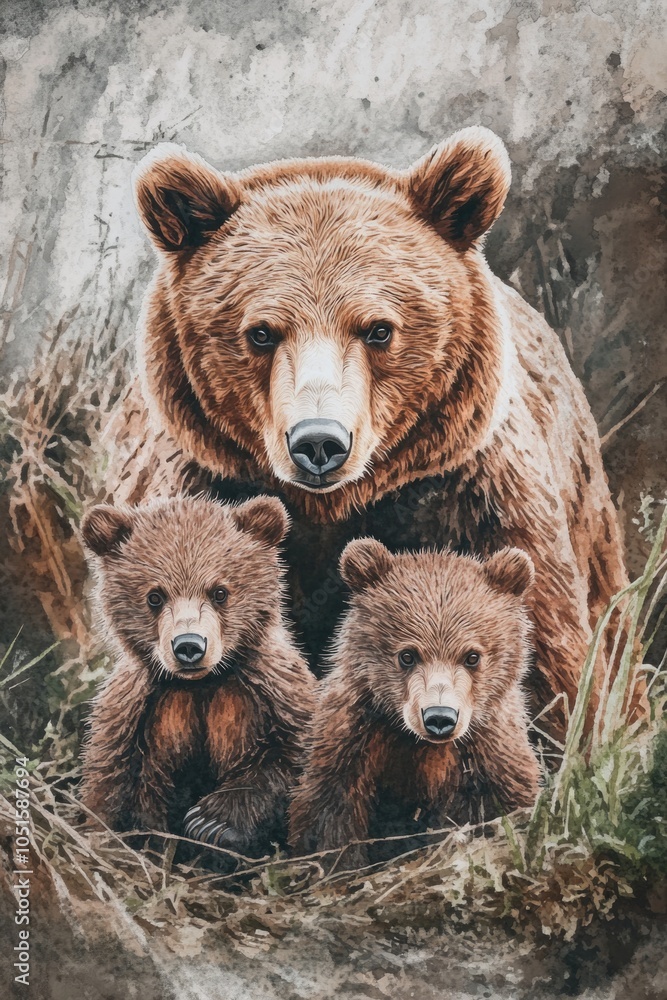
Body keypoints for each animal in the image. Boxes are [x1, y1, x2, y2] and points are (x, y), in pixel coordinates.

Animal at [79, 494, 315, 861]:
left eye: (220, 592)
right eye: (155, 596)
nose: (189, 645)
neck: (201, 685)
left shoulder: (271, 691)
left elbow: (291, 758)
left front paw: (212, 821)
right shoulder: (131, 715)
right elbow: (112, 793)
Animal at [129, 126, 629, 740]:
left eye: (378, 329)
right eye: (261, 332)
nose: (319, 441)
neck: (331, 509)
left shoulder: (472, 501)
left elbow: (548, 665)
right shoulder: (204, 488)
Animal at [288, 539, 541, 866]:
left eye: (472, 656)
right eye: (407, 655)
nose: (439, 717)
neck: (419, 746)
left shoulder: (488, 752)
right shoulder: (352, 742)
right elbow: (328, 816)